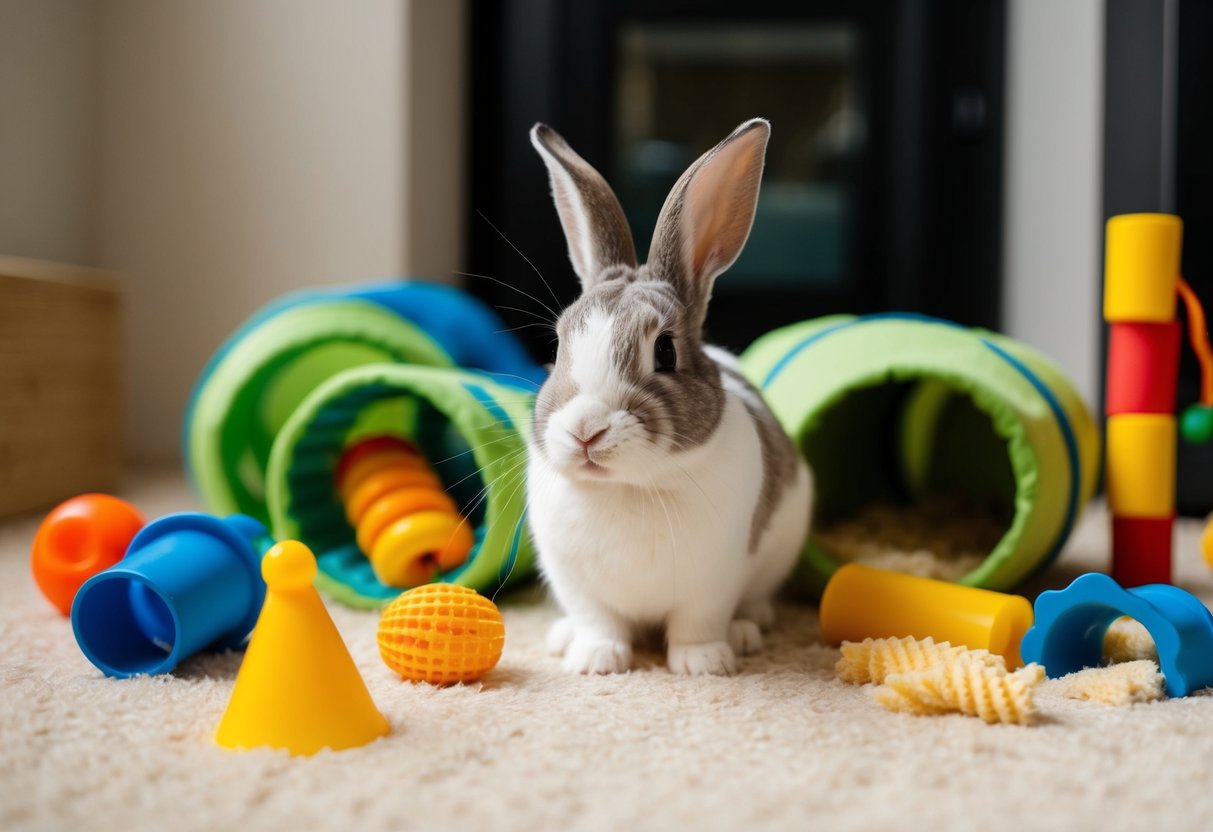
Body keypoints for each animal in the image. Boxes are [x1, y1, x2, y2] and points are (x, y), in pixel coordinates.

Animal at [524, 118, 813, 676]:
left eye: (664, 351)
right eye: (559, 343)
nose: (586, 430)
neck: (630, 487)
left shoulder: (715, 581)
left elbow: (696, 625)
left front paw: (704, 664)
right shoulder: (576, 582)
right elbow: (599, 621)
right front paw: (595, 661)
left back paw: (747, 631)